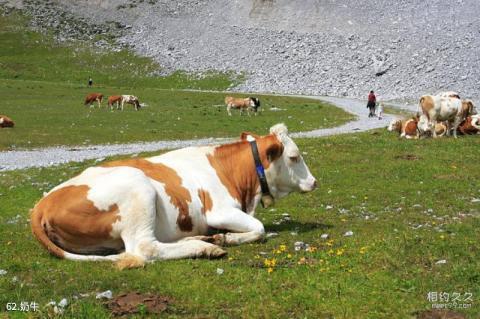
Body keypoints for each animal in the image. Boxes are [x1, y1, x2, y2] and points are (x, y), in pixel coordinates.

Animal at [29, 125, 316, 270]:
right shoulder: (219, 210)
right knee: (145, 248)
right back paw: (205, 247)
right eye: (294, 157)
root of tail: (41, 204)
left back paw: (202, 239)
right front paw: (229, 238)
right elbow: (259, 228)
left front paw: (221, 235)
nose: (315, 182)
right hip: (138, 188)